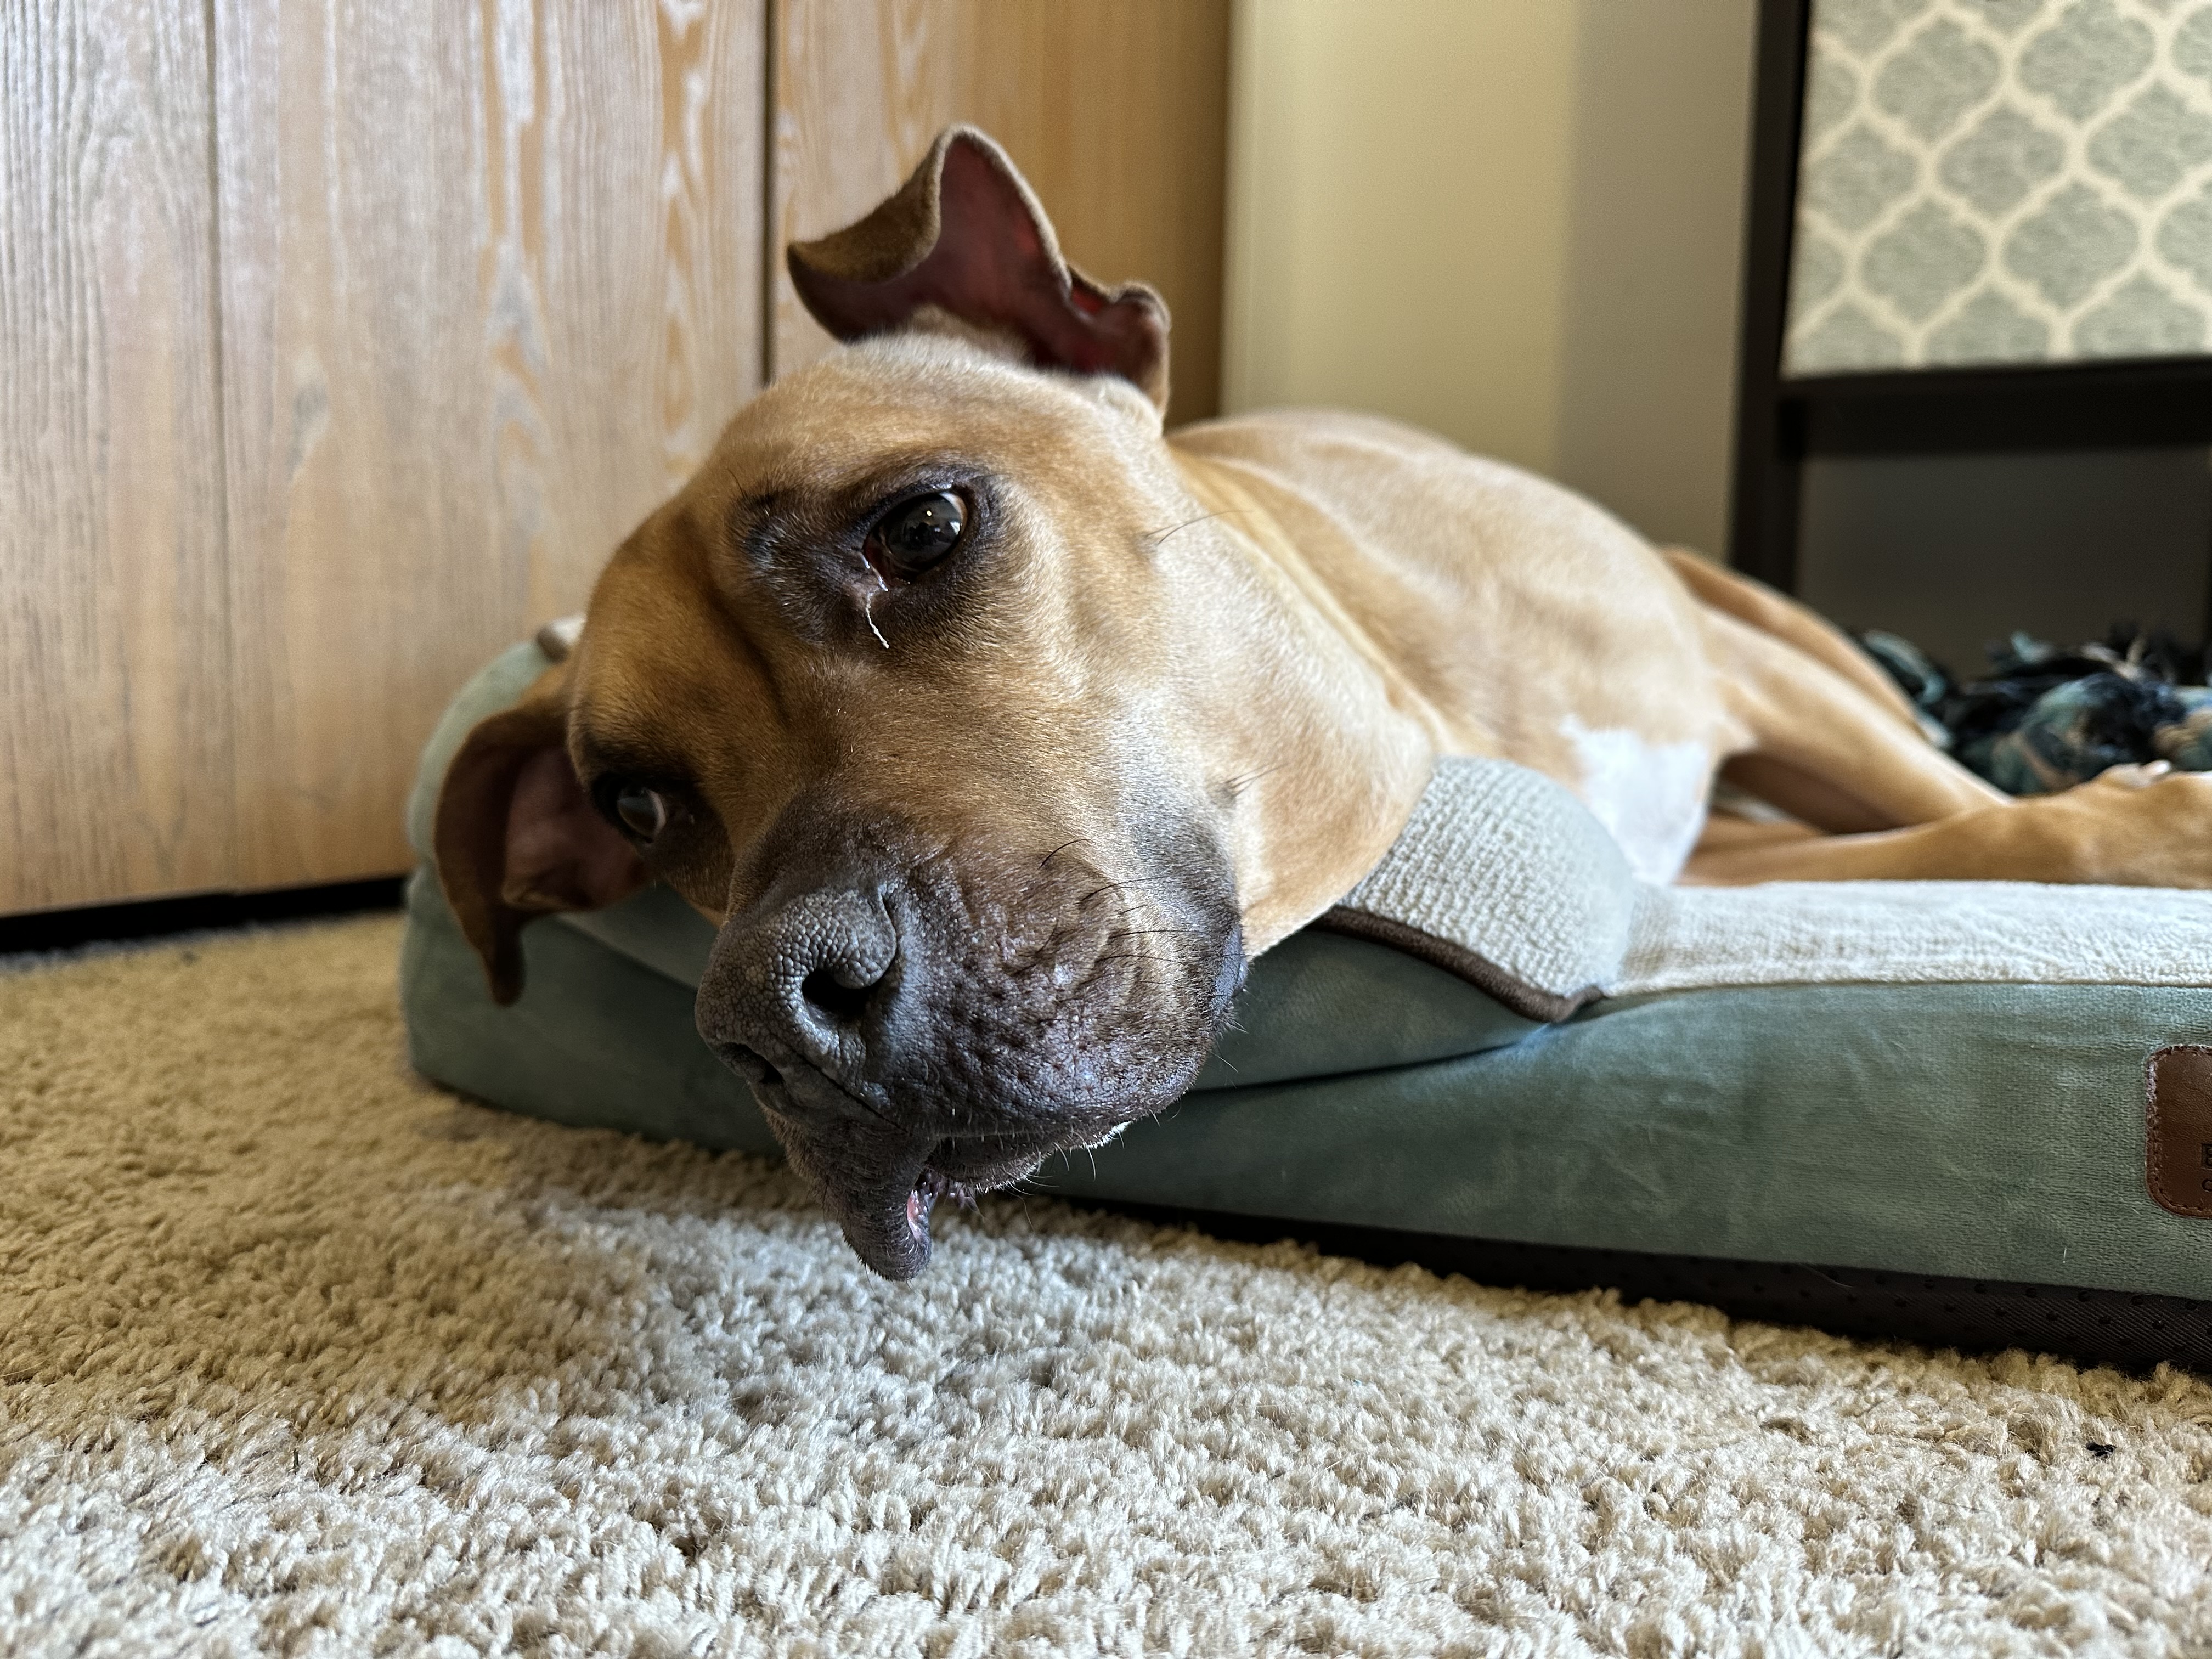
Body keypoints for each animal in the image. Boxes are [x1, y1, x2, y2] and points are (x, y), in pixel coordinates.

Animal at [431, 129, 2212, 1283]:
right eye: (636, 803)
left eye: (919, 530)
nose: (772, 1025)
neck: (1419, 684)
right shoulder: (1692, 865)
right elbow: (1953, 841)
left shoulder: (1746, 686)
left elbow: (1981, 820)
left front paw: (2142, 814)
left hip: (1765, 626)